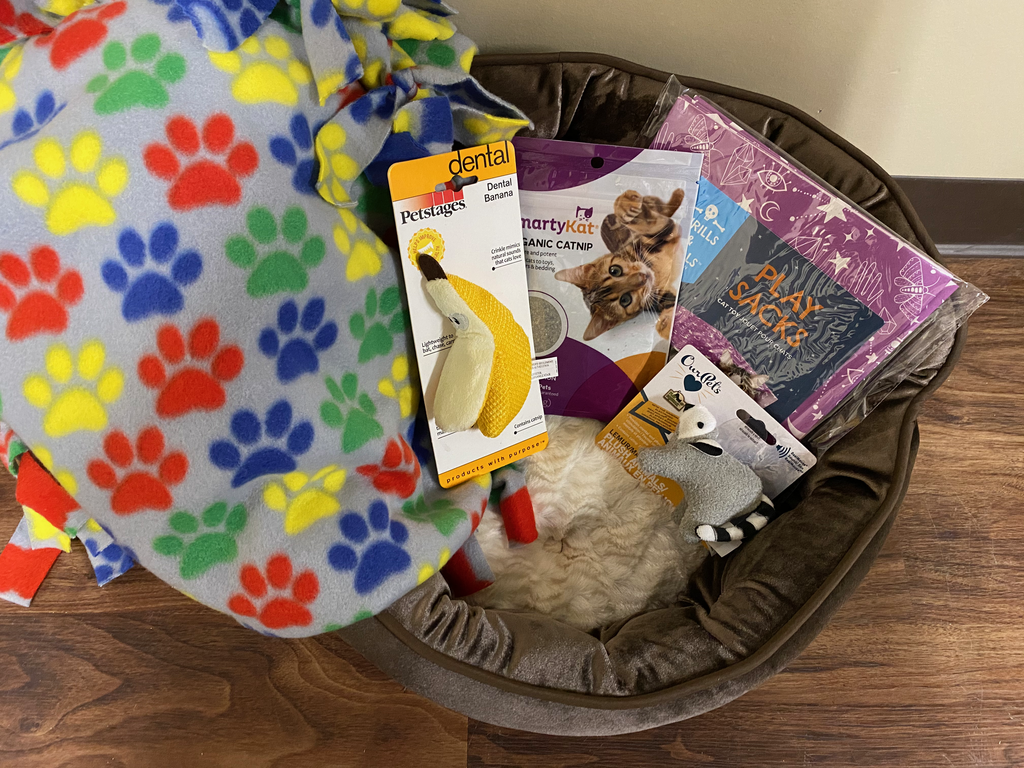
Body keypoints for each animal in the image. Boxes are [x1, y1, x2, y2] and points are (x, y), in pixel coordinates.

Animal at [555, 189, 685, 341]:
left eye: (615, 270)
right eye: (625, 300)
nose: (643, 277)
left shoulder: (656, 234)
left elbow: (648, 223)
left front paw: (625, 206)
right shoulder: (661, 295)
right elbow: (673, 305)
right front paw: (668, 324)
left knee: (659, 206)